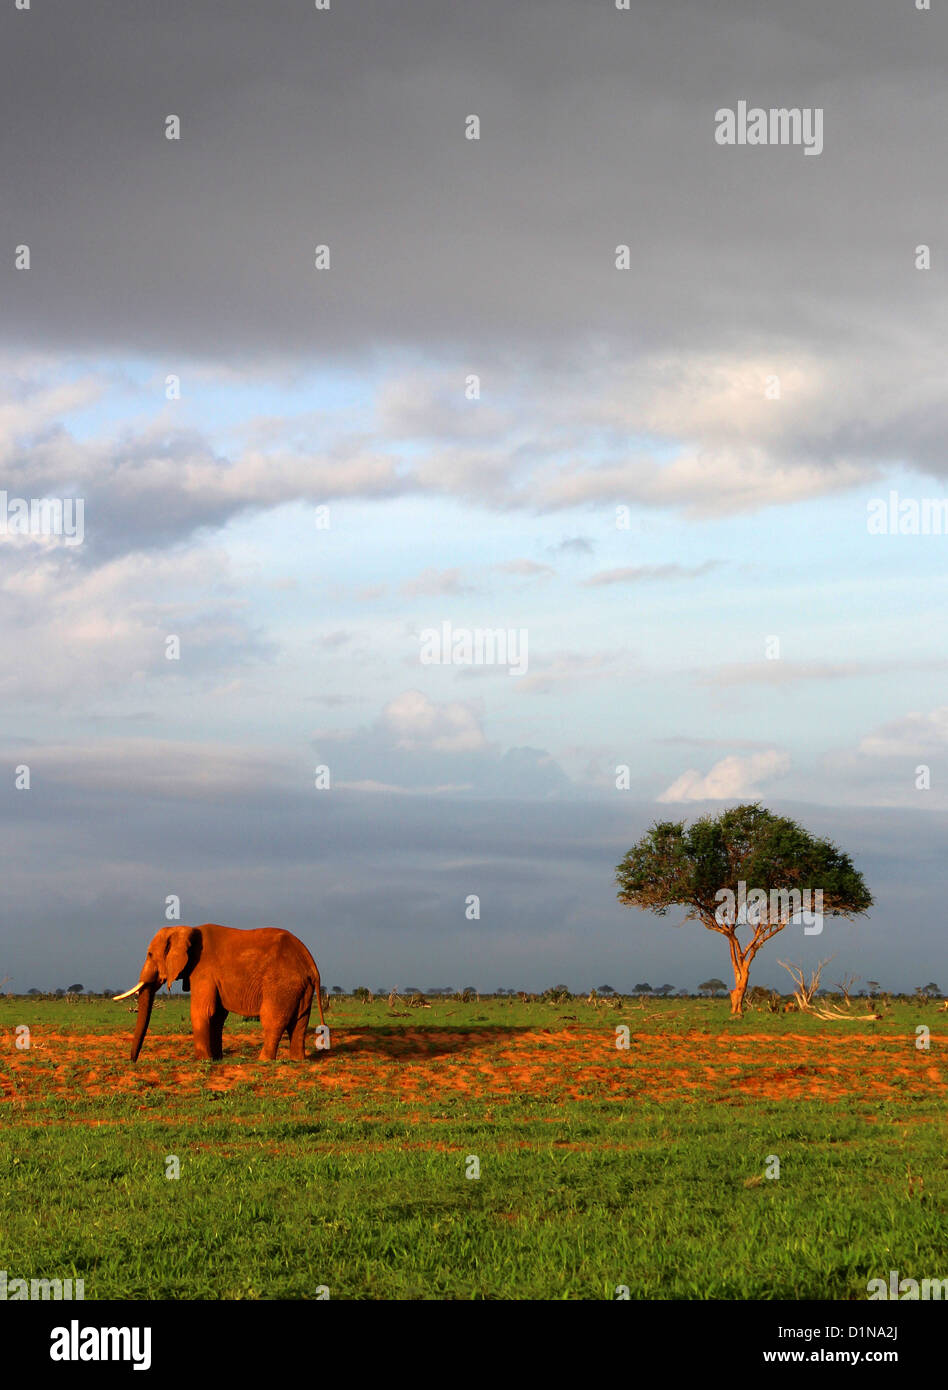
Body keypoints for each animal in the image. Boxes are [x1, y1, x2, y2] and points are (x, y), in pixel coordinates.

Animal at [113, 922, 326, 1061]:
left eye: (149, 954)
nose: (133, 1061)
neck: (187, 930)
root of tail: (311, 963)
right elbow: (216, 1015)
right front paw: (217, 1059)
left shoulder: (203, 970)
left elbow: (202, 1011)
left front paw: (202, 1060)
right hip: (301, 987)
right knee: (300, 1021)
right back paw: (297, 1060)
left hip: (281, 984)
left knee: (272, 1019)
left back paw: (263, 1061)